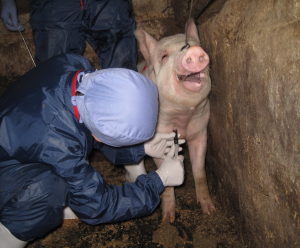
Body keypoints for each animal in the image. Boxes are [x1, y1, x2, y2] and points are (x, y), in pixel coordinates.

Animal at [124, 18, 216, 222]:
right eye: (165, 56)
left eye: (197, 46)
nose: (193, 50)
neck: (183, 118)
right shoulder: (158, 137)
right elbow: (164, 174)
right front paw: (168, 219)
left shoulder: (201, 130)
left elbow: (199, 170)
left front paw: (209, 210)